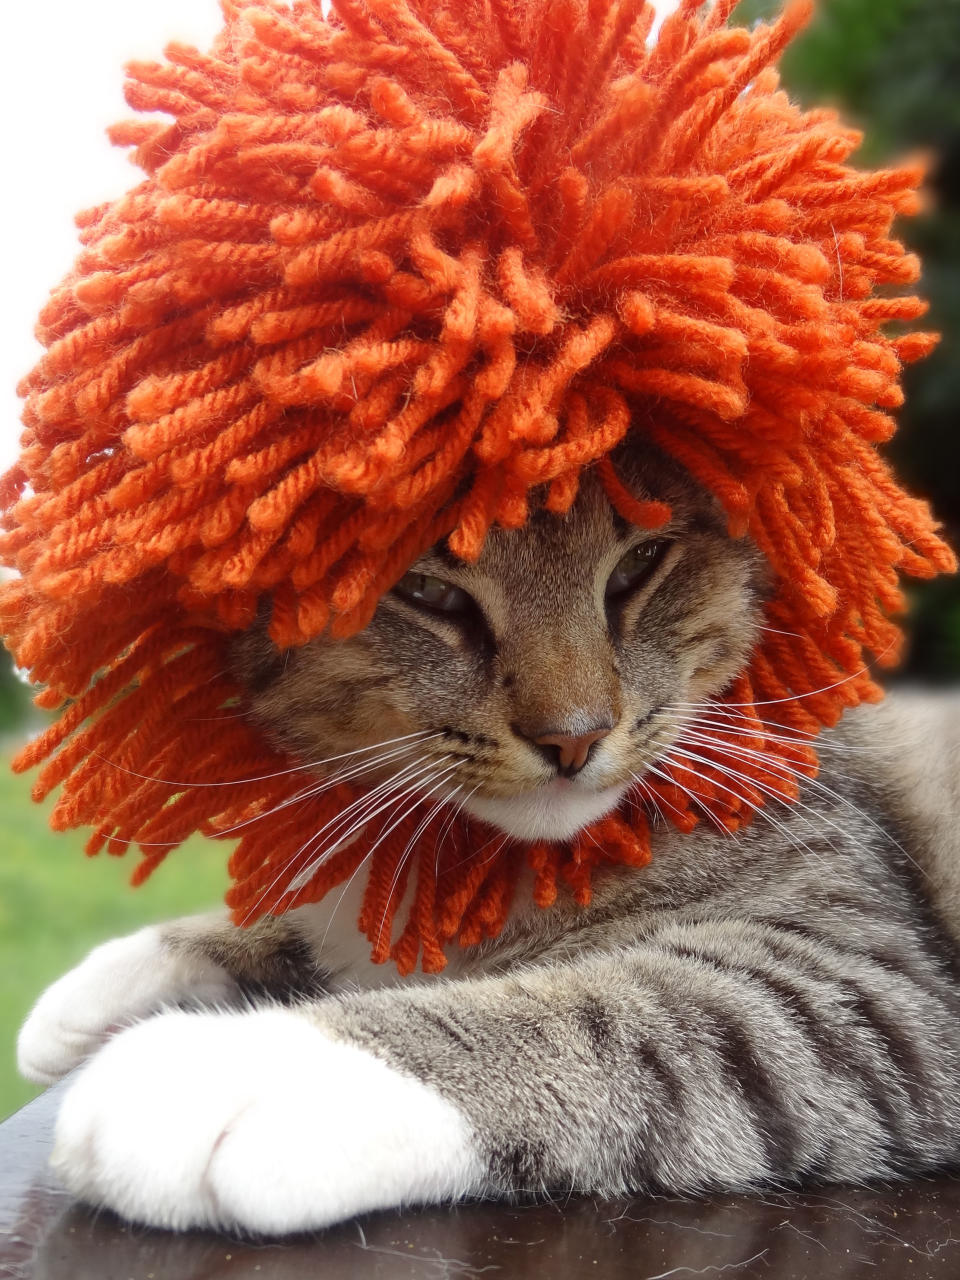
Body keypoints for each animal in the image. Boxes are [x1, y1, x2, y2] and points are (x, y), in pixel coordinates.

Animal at [13, 445, 960, 1233]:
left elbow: (618, 1011)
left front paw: (233, 1069)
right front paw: (106, 981)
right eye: (430, 592)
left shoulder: (864, 978)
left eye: (640, 566)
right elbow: (297, 916)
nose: (575, 738)